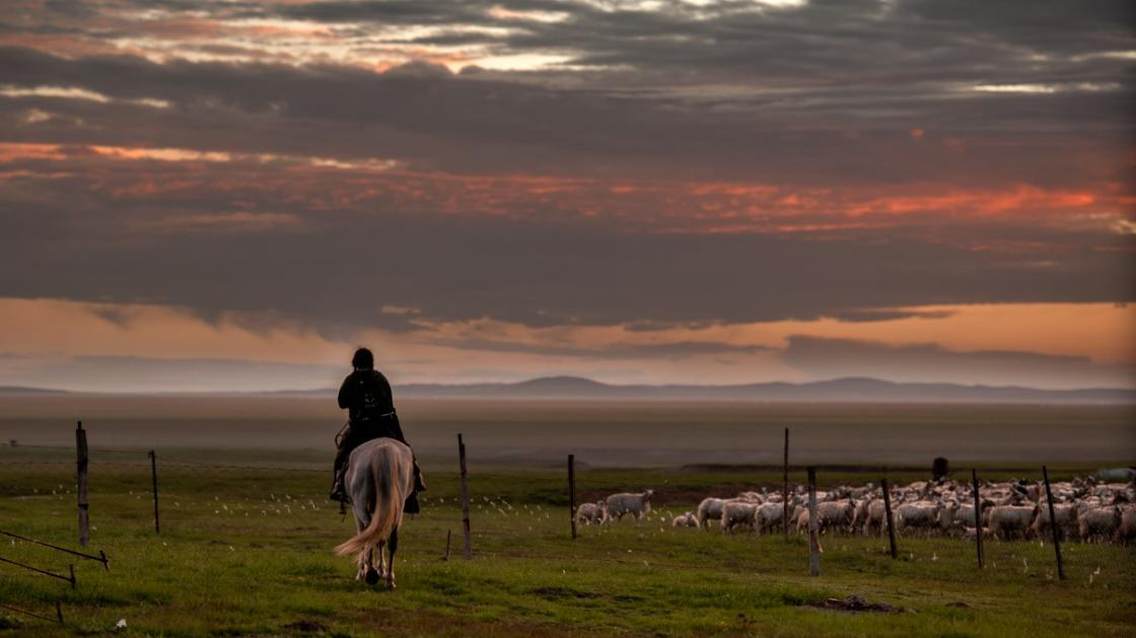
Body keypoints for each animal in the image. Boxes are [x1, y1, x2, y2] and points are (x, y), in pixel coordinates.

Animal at [331, 435, 413, 585]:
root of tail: (383, 451)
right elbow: (380, 539)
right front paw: (381, 570)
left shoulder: (355, 509)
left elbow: (363, 535)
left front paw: (363, 572)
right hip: (398, 507)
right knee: (391, 538)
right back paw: (389, 579)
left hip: (360, 504)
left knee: (368, 533)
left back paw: (370, 573)